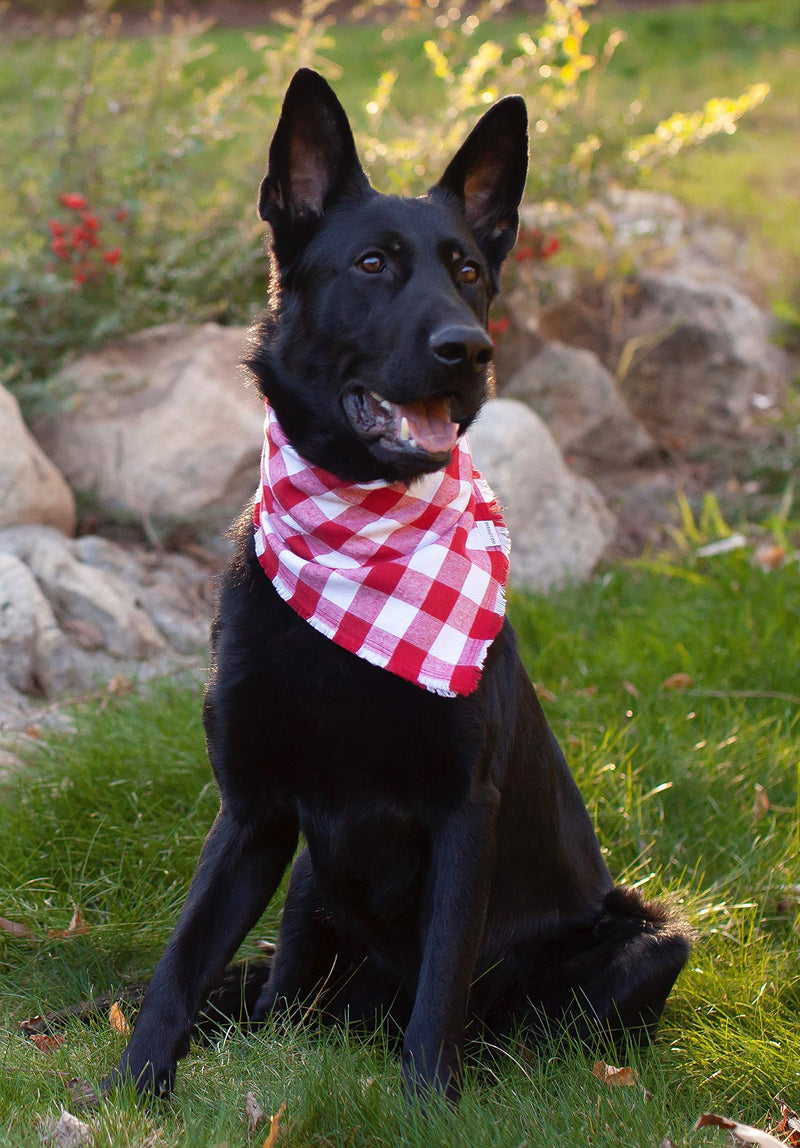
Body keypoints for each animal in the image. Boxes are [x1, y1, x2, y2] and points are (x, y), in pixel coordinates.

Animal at [109, 69, 688, 1102]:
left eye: (469, 272)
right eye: (373, 264)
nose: (469, 350)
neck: (360, 543)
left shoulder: (466, 810)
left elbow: (444, 977)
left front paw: (428, 1106)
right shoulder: (254, 814)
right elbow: (182, 963)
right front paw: (129, 1092)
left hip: (652, 942)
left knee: (515, 1018)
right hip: (308, 890)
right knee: (274, 999)